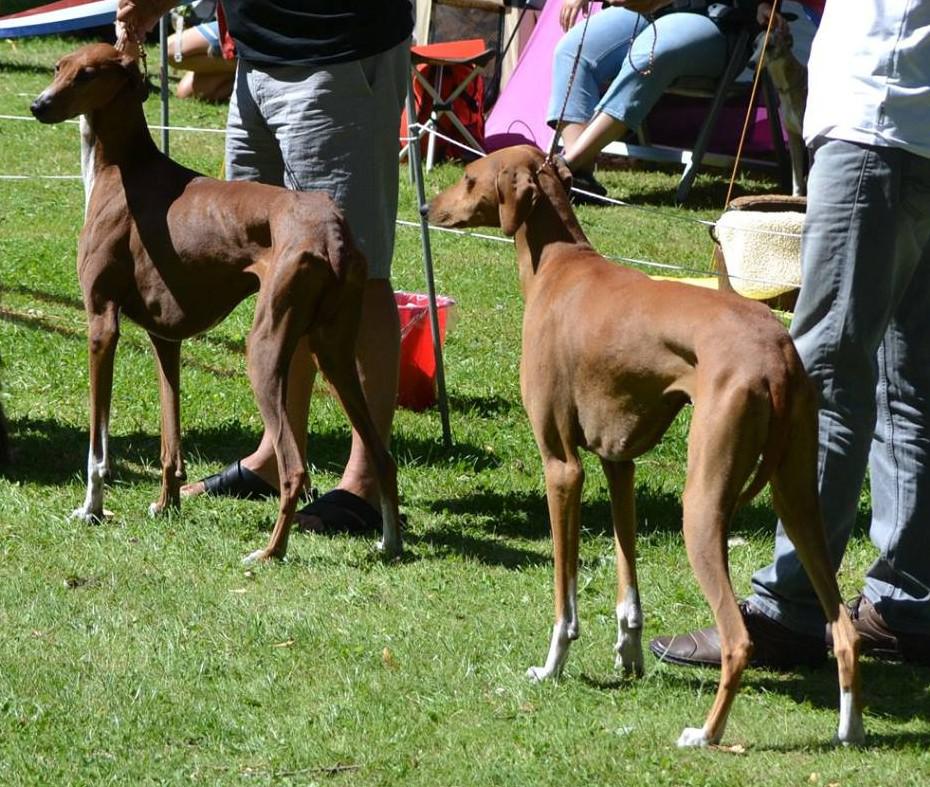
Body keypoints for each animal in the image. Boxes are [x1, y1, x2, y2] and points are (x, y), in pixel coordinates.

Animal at [30, 43, 402, 563]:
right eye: (58, 68)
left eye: (87, 76)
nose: (38, 106)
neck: (123, 167)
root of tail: (332, 230)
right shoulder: (165, 337)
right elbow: (170, 438)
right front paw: (166, 503)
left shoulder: (101, 325)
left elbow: (97, 447)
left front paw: (91, 509)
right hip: (334, 351)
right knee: (382, 457)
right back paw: (389, 542)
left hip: (265, 349)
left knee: (294, 470)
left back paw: (269, 553)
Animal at [427, 145, 863, 748]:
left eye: (469, 178)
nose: (425, 207)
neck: (559, 264)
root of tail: (775, 352)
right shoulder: (619, 462)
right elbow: (627, 574)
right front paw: (628, 654)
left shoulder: (562, 468)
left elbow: (564, 596)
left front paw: (552, 667)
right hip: (798, 501)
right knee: (843, 627)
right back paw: (849, 728)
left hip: (701, 506)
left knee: (739, 641)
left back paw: (706, 735)